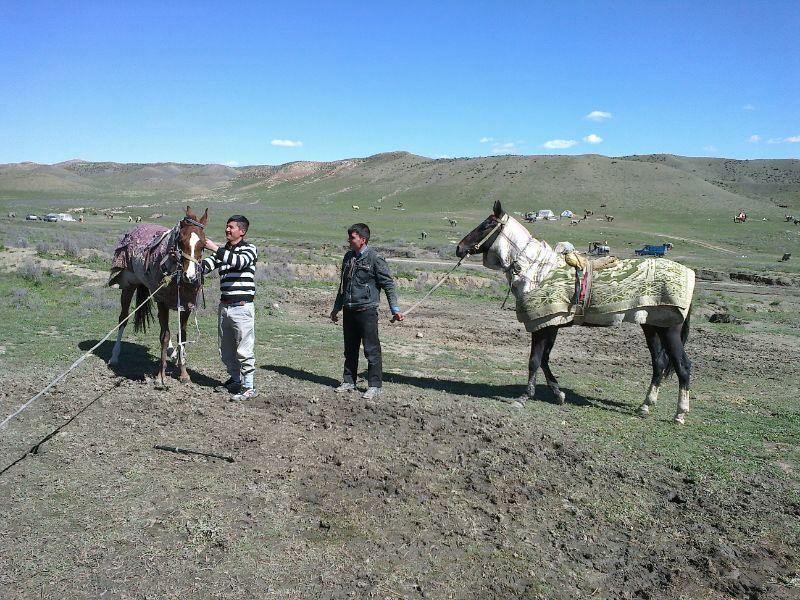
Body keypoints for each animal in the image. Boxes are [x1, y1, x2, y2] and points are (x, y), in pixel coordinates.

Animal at [108, 205, 208, 384]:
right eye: (181, 241)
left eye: (203, 245)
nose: (190, 276)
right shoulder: (162, 301)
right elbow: (164, 335)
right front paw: (161, 376)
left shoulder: (186, 304)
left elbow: (181, 335)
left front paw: (183, 372)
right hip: (128, 286)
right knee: (123, 319)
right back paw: (114, 356)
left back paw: (173, 354)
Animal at [456, 204, 692, 424]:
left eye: (486, 225)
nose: (459, 248)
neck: (537, 270)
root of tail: (688, 274)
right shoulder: (550, 324)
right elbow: (544, 359)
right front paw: (558, 394)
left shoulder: (542, 325)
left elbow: (535, 359)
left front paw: (524, 397)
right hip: (652, 326)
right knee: (659, 363)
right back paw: (645, 406)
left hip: (669, 330)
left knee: (683, 366)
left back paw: (679, 414)